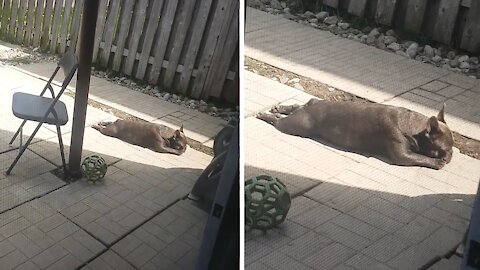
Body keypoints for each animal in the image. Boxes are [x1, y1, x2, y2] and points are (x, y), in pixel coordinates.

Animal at [256, 99, 452, 169]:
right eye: (444, 149)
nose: (450, 156)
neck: (416, 127)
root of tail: (311, 104)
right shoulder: (401, 152)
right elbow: (417, 157)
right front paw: (437, 162)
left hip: (302, 110)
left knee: (296, 105)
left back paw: (279, 108)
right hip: (299, 125)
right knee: (279, 122)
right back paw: (266, 115)